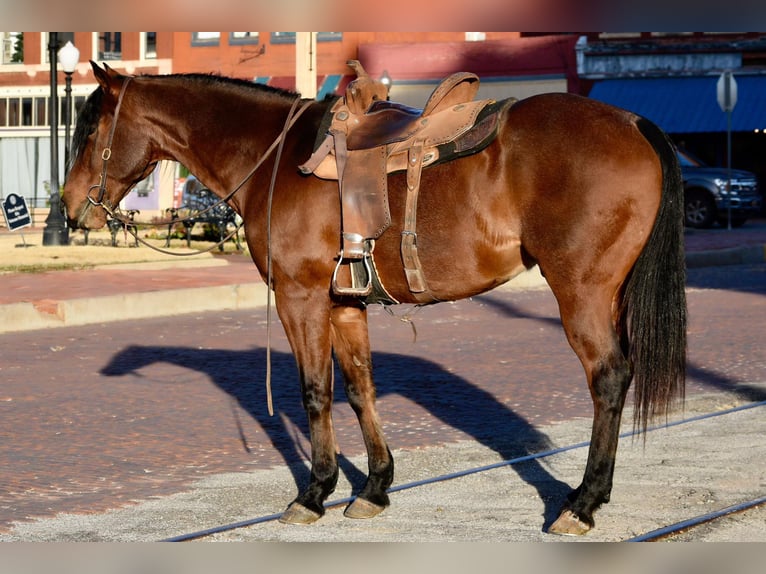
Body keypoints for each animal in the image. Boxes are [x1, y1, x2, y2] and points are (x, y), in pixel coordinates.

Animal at [63, 60, 688, 536]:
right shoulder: (345, 304)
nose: (68, 211)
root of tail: (632, 121)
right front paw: (375, 487)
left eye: (89, 132)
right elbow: (359, 388)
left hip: (581, 292)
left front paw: (314, 492)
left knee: (608, 378)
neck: (275, 157)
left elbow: (315, 392)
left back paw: (583, 502)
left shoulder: (301, 298)